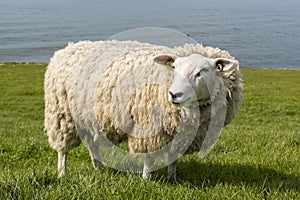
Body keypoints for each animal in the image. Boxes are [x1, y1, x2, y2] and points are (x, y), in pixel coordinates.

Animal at [43, 39, 243, 180]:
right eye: (174, 68)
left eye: (202, 71)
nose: (174, 94)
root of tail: (67, 49)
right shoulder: (150, 125)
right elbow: (149, 157)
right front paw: (146, 179)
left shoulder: (181, 134)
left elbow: (173, 158)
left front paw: (172, 178)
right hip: (61, 113)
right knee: (62, 148)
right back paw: (62, 172)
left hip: (88, 116)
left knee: (92, 143)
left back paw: (98, 168)